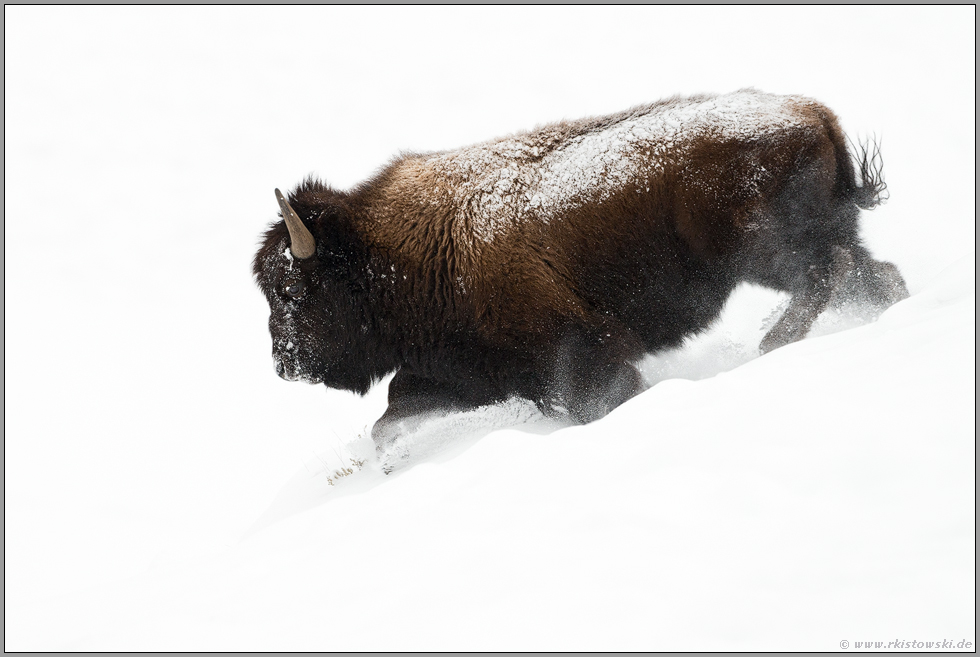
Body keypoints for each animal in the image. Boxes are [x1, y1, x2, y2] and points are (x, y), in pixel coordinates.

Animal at [255, 88, 912, 446]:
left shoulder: (578, 349)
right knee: (869, 276)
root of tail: (814, 114)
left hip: (760, 252)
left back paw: (770, 343)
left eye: (292, 291)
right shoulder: (463, 372)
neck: (387, 253)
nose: (284, 363)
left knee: (822, 275)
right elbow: (392, 416)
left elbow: (595, 395)